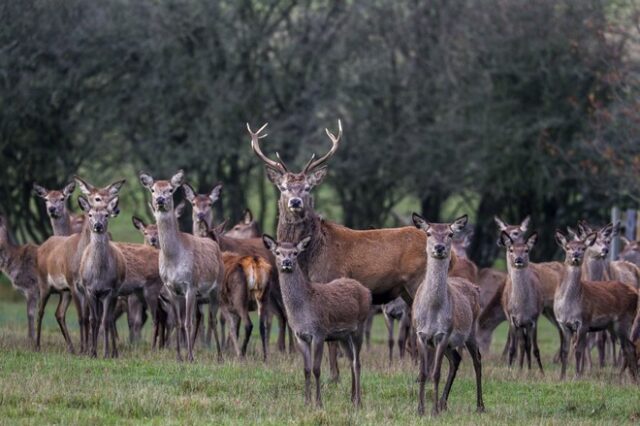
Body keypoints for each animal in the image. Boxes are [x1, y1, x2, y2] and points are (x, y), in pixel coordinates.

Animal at [139, 171, 225, 362]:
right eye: (153, 189)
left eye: (171, 189)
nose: (160, 200)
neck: (173, 258)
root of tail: (213, 242)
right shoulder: (171, 288)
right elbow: (178, 322)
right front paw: (179, 356)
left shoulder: (190, 285)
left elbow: (187, 322)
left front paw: (191, 357)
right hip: (201, 295)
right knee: (202, 317)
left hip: (216, 288)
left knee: (213, 319)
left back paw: (220, 356)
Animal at [262, 235, 370, 408]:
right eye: (277, 252)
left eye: (295, 253)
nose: (286, 262)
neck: (302, 312)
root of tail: (367, 291)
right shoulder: (300, 336)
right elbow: (306, 369)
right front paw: (306, 401)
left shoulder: (319, 333)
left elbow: (316, 369)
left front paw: (319, 402)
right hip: (343, 336)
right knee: (351, 360)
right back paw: (352, 397)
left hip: (359, 325)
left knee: (357, 363)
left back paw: (358, 401)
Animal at [410, 213, 484, 416]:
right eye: (428, 233)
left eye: (450, 234)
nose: (439, 247)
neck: (432, 310)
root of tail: (475, 288)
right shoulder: (421, 334)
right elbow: (422, 373)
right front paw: (420, 409)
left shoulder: (443, 334)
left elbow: (436, 373)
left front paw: (433, 410)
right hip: (452, 343)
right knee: (456, 360)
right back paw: (444, 403)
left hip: (471, 332)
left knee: (477, 360)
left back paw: (480, 405)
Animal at [498, 230, 544, 372]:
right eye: (511, 249)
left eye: (526, 250)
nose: (518, 260)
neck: (522, 308)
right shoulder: (513, 319)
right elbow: (512, 349)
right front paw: (509, 371)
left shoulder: (534, 319)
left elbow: (535, 349)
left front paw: (541, 372)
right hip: (516, 323)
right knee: (522, 343)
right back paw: (520, 369)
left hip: (527, 324)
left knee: (527, 344)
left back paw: (526, 369)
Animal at [552, 231, 636, 382]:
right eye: (567, 247)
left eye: (583, 248)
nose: (576, 255)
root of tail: (635, 293)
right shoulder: (563, 324)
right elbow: (565, 351)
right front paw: (562, 377)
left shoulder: (584, 321)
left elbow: (578, 350)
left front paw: (577, 376)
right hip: (614, 326)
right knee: (628, 347)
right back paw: (628, 377)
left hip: (624, 321)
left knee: (629, 347)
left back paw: (627, 377)